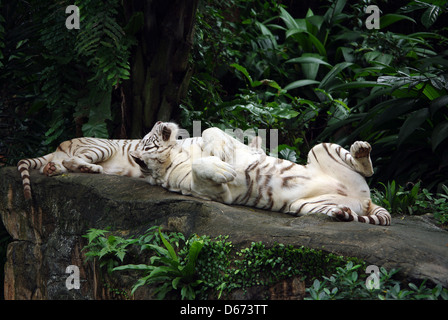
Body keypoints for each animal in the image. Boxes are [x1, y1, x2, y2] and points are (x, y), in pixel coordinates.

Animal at [130, 121, 392, 226]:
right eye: (148, 138)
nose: (159, 121)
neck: (175, 151)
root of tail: (366, 201)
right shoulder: (208, 191)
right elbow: (199, 168)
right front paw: (221, 168)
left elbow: (209, 131)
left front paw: (219, 151)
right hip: (306, 206)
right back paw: (341, 213)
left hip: (319, 148)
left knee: (366, 167)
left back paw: (361, 149)